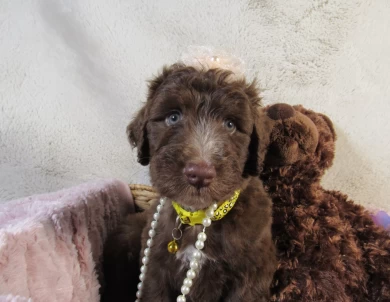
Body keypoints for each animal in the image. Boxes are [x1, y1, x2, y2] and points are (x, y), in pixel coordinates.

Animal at [102, 64, 276, 302]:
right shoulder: (155, 269)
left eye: (230, 124)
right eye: (173, 117)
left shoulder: (251, 274)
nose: (200, 173)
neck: (198, 218)